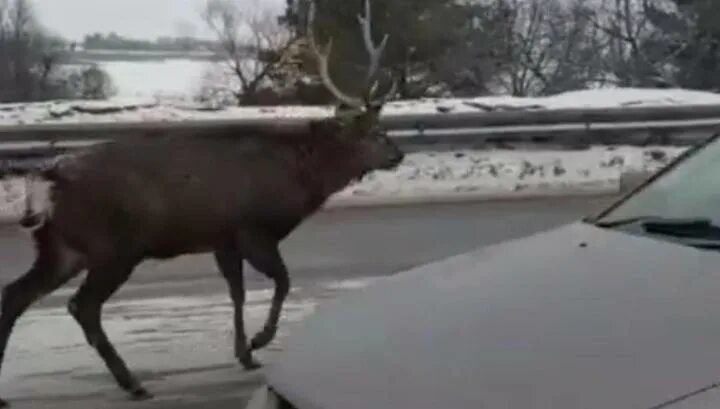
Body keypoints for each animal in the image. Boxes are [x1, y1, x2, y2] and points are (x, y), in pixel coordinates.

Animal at [0, 0, 402, 404]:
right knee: (82, 306)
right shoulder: (252, 229)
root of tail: (48, 178)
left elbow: (238, 293)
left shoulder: (223, 239)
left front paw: (244, 353)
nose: (398, 154)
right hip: (114, 246)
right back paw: (133, 383)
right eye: (376, 132)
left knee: (15, 294)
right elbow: (283, 282)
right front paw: (260, 340)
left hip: (62, 247)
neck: (299, 175)